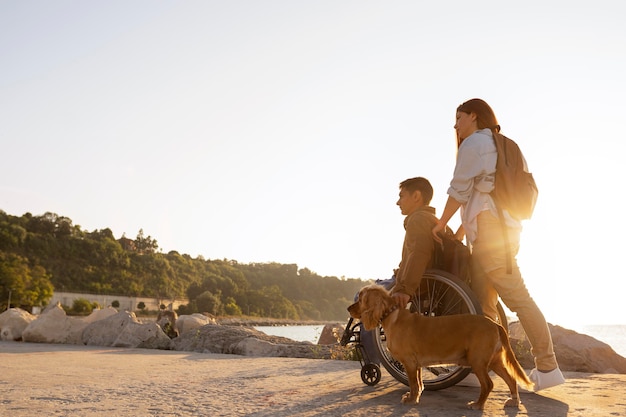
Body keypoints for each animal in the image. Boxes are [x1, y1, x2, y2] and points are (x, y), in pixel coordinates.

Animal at [348, 284, 528, 408]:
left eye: (361, 299)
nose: (348, 308)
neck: (392, 316)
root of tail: (494, 324)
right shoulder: (416, 364)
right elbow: (418, 382)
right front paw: (415, 396)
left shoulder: (409, 362)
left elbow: (413, 383)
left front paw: (411, 400)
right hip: (494, 360)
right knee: (511, 379)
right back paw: (514, 401)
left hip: (478, 360)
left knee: (488, 384)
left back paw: (477, 405)